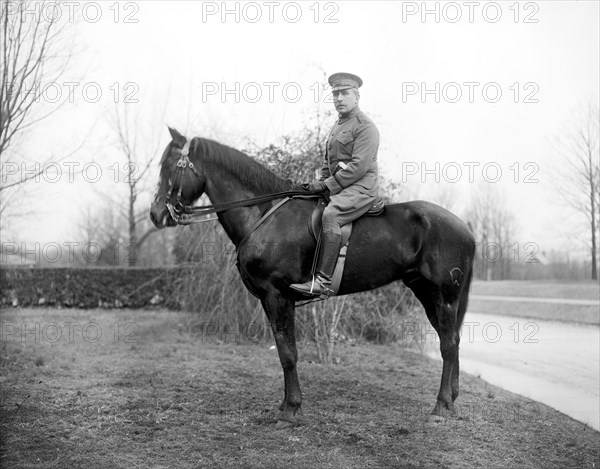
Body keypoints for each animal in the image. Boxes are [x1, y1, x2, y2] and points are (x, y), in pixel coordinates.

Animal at [149, 127, 474, 428]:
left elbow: (288, 353)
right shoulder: (271, 300)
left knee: (448, 343)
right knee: (452, 340)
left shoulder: (277, 295)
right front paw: (285, 405)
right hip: (427, 294)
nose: (156, 214)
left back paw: (441, 407)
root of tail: (465, 228)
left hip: (444, 296)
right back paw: (452, 401)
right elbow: (284, 350)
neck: (264, 214)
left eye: (170, 166)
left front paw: (291, 410)